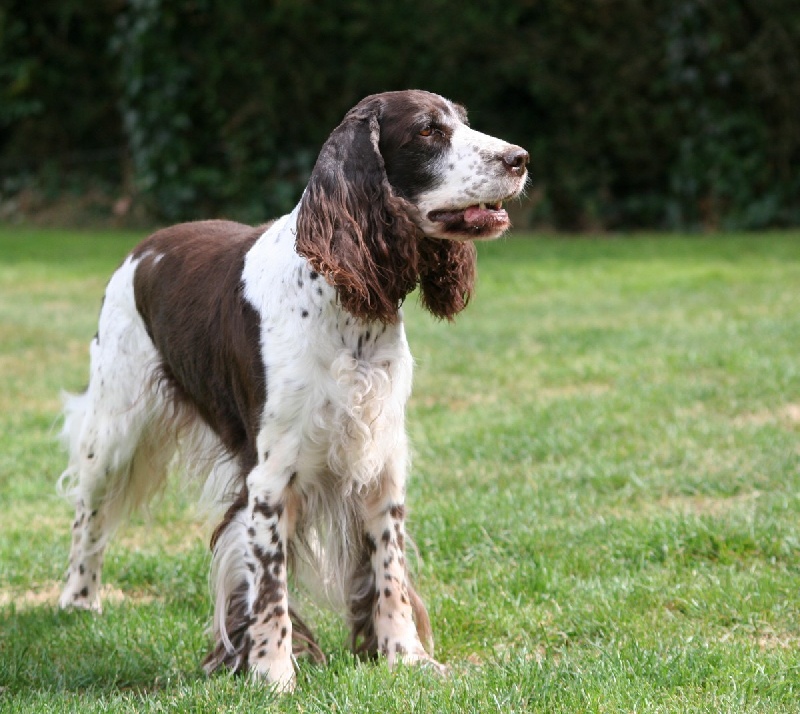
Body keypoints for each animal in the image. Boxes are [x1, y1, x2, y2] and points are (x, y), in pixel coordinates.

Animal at [57, 89, 532, 688]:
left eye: (464, 122)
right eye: (428, 131)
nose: (520, 158)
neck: (346, 305)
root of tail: (144, 247)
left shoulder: (380, 462)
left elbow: (389, 569)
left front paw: (406, 657)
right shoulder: (270, 476)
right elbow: (269, 584)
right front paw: (273, 673)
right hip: (115, 426)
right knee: (88, 513)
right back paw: (78, 599)